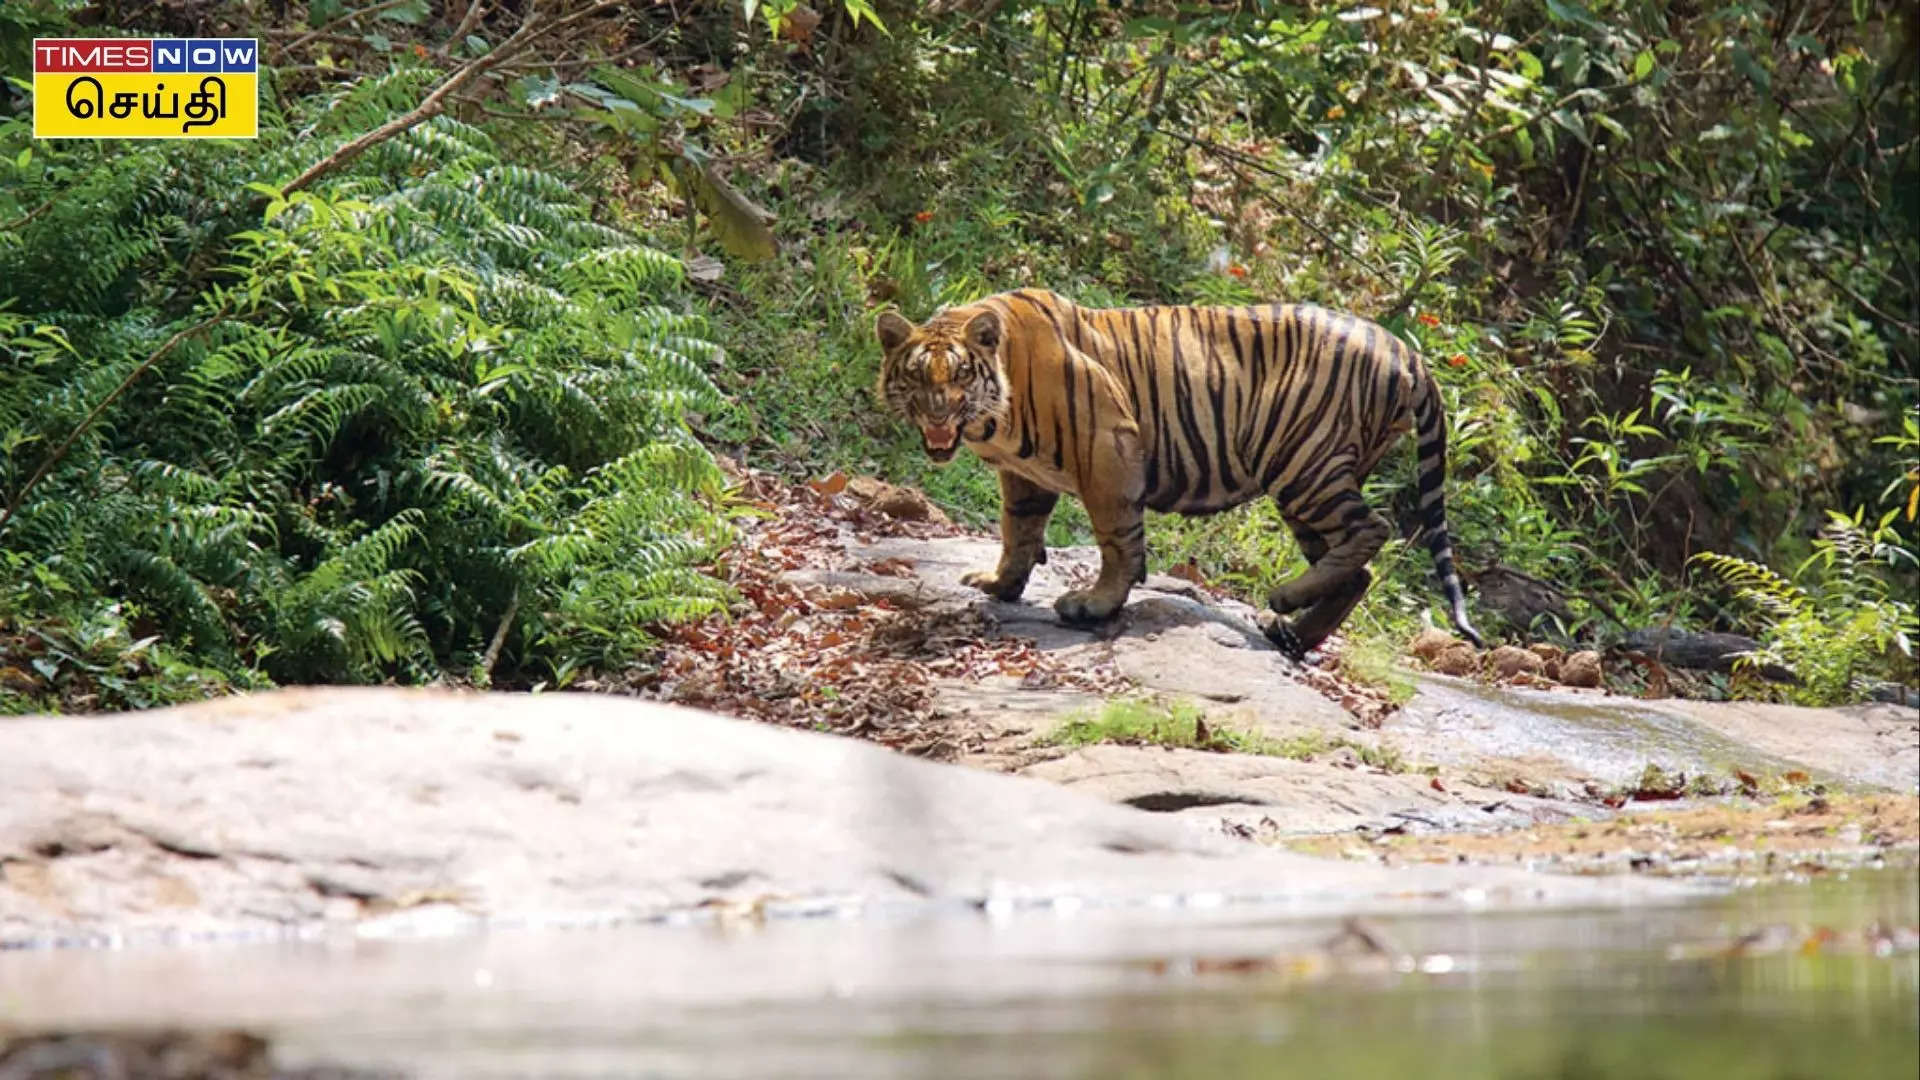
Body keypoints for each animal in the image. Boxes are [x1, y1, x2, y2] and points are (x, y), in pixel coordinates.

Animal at [875, 286, 1482, 657]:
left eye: (959, 377)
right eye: (917, 377)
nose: (938, 414)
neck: (993, 418)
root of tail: (1407, 351)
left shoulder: (1109, 447)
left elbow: (1117, 541)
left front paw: (1095, 604)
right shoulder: (1025, 477)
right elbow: (1017, 530)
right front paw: (1000, 584)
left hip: (1304, 463)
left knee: (1373, 529)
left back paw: (1284, 600)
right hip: (1310, 482)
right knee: (1358, 571)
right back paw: (1291, 632)